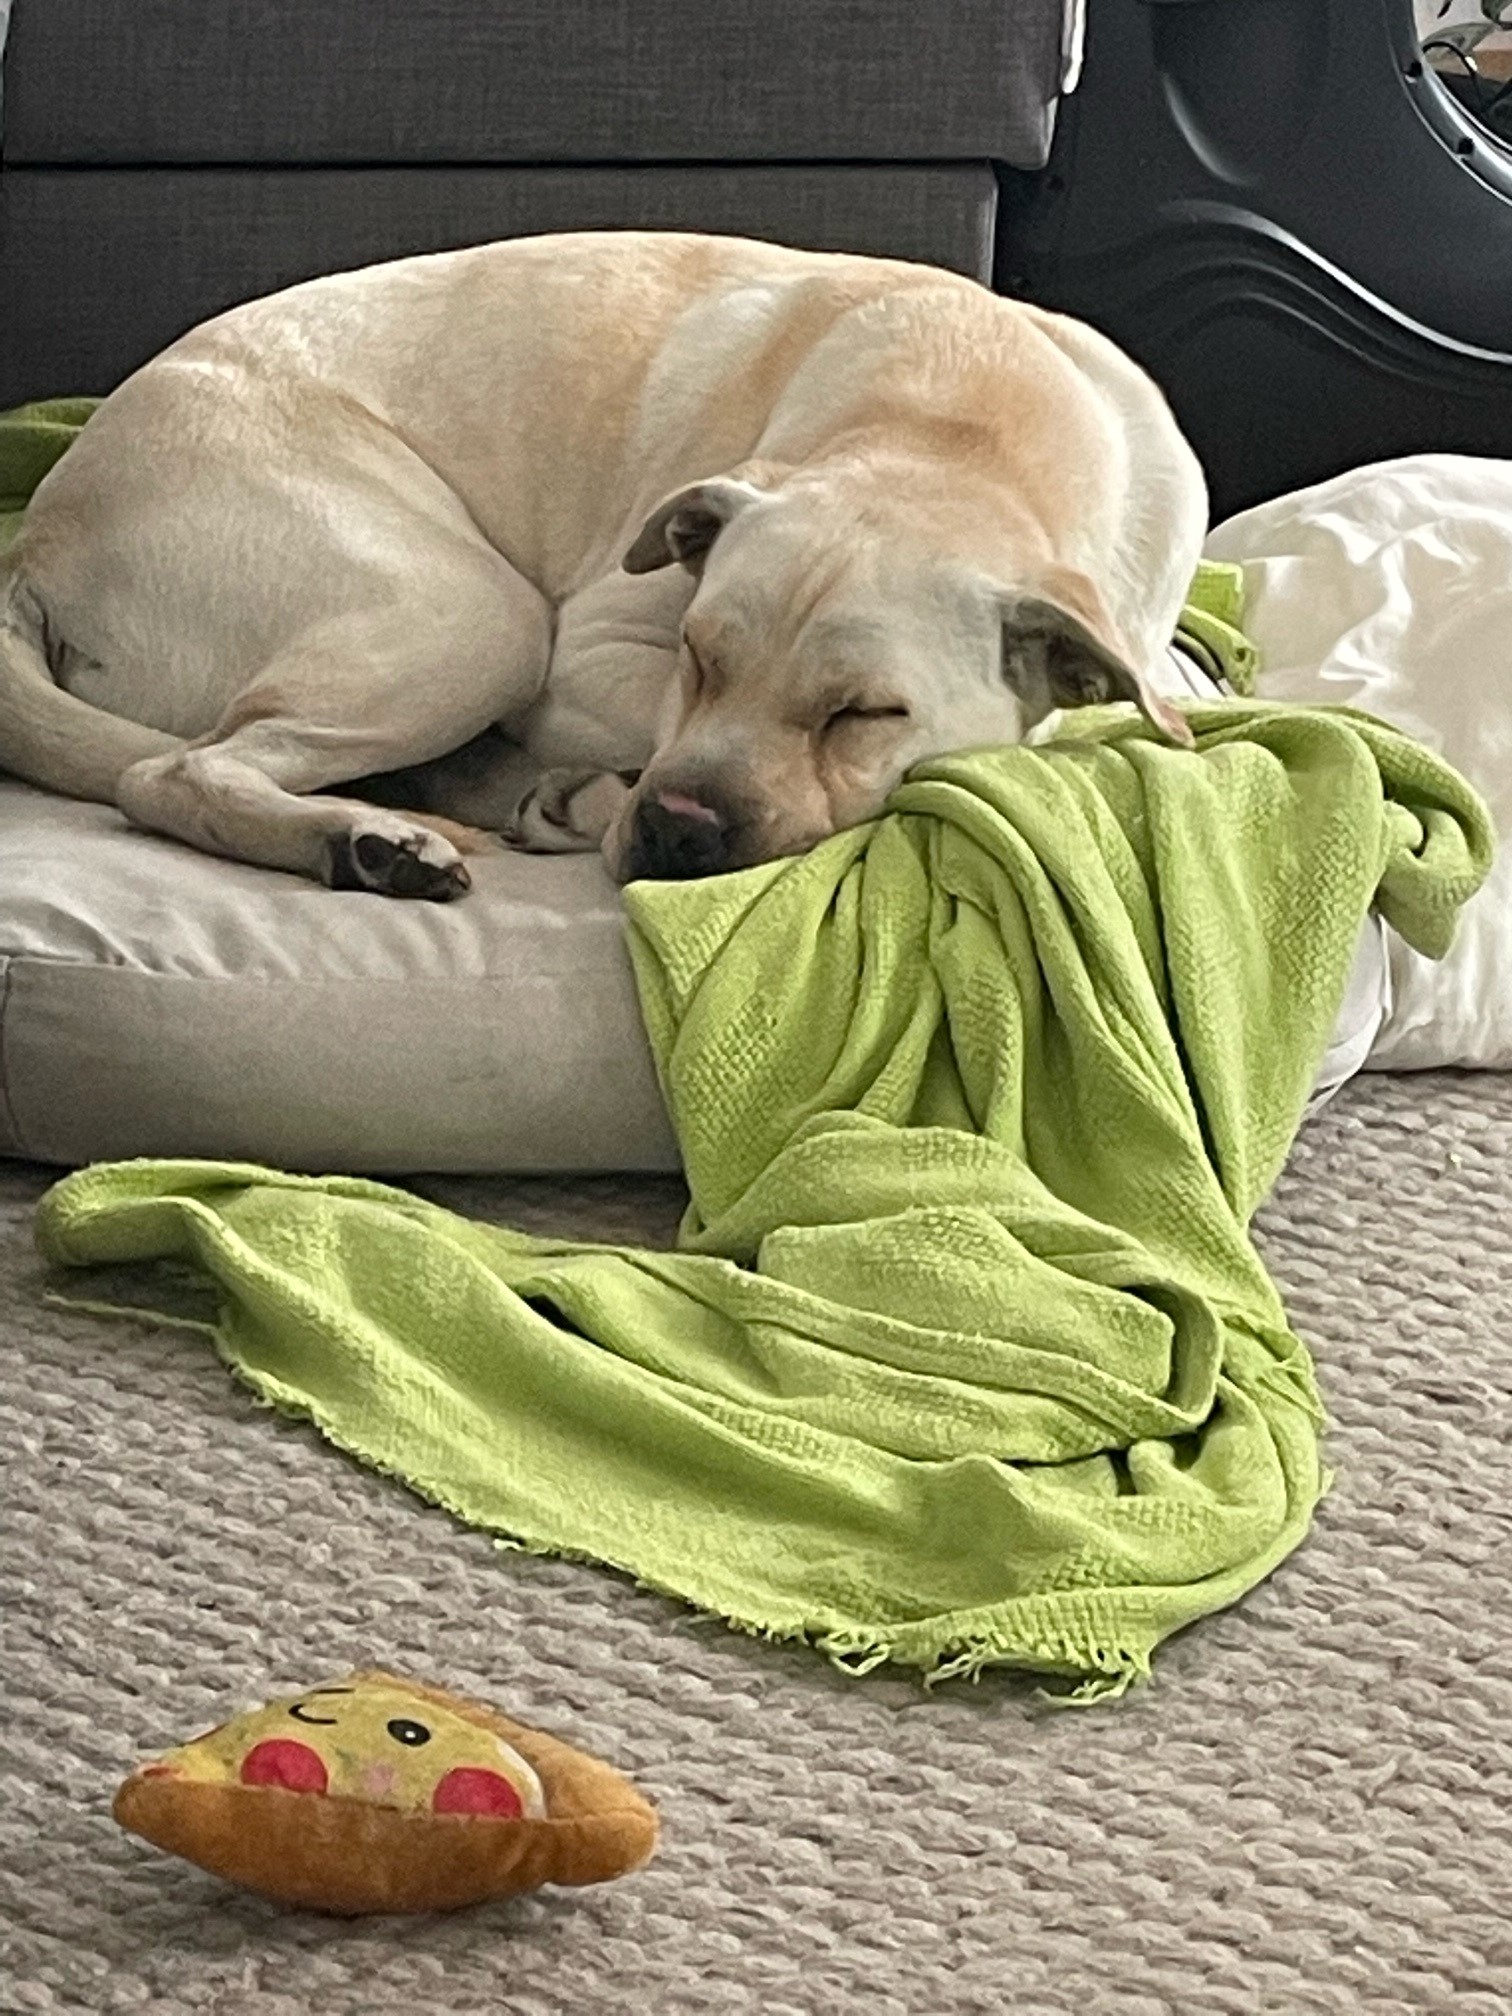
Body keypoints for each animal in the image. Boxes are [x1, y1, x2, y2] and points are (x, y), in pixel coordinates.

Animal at [0, 232, 1207, 895]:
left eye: (865, 715)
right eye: (697, 658)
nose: (676, 829)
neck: (963, 429)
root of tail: (39, 538)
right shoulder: (585, 658)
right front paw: (585, 791)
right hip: (479, 619)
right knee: (176, 772)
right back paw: (381, 837)